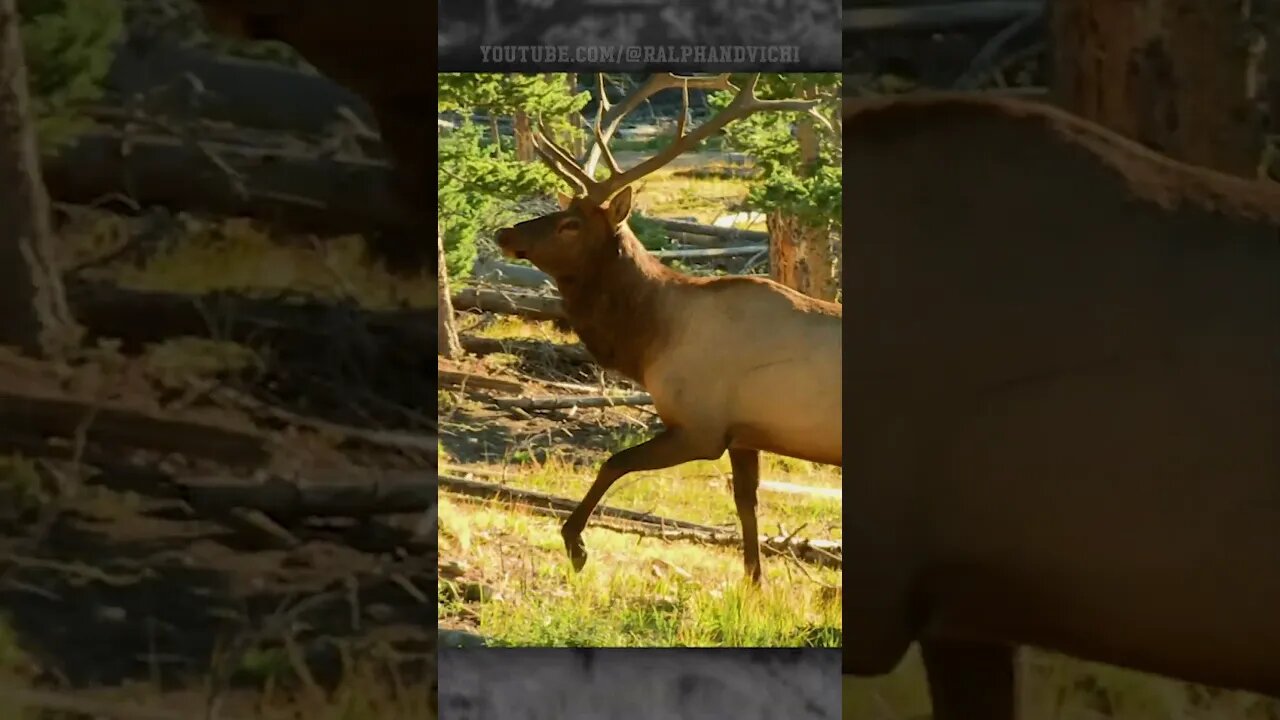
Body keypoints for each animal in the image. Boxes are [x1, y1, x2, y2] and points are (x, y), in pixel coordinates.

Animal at [494, 73, 844, 579]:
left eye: (571, 224)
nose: (505, 233)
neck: (648, 340)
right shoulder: (743, 434)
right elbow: (747, 507)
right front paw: (754, 581)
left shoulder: (700, 429)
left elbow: (614, 462)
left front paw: (575, 542)